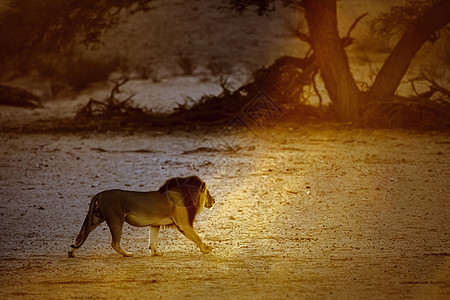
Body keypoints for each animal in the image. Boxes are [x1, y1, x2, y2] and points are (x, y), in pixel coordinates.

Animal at [69, 176, 216, 258]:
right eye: (208, 193)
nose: (214, 201)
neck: (185, 193)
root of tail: (99, 194)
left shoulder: (155, 225)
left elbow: (153, 240)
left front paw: (156, 253)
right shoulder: (184, 224)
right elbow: (197, 237)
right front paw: (206, 249)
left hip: (95, 218)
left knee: (80, 235)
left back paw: (72, 253)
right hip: (116, 219)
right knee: (114, 243)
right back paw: (127, 254)